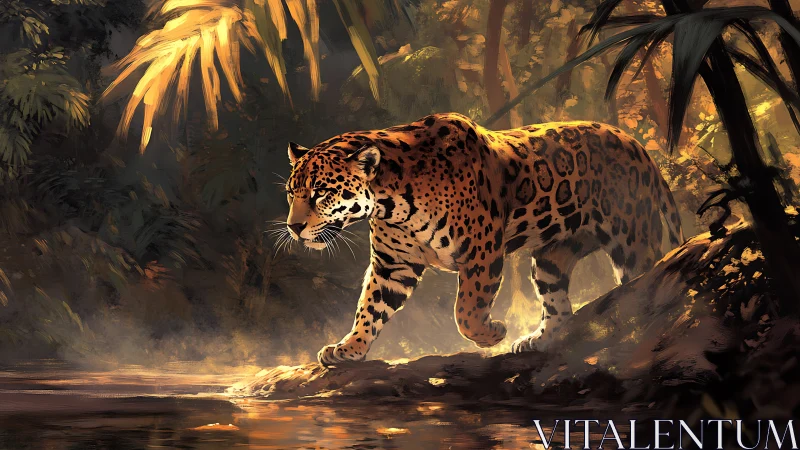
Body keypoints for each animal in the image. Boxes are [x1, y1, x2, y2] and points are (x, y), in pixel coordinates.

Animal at [283, 112, 683, 366]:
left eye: (320, 194)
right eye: (291, 193)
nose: (293, 227)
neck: (391, 201)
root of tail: (639, 147)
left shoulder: (482, 251)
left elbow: (466, 311)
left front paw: (492, 333)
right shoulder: (392, 266)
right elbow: (369, 308)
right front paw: (349, 348)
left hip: (632, 241)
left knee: (644, 282)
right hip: (552, 257)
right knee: (559, 306)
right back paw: (538, 341)